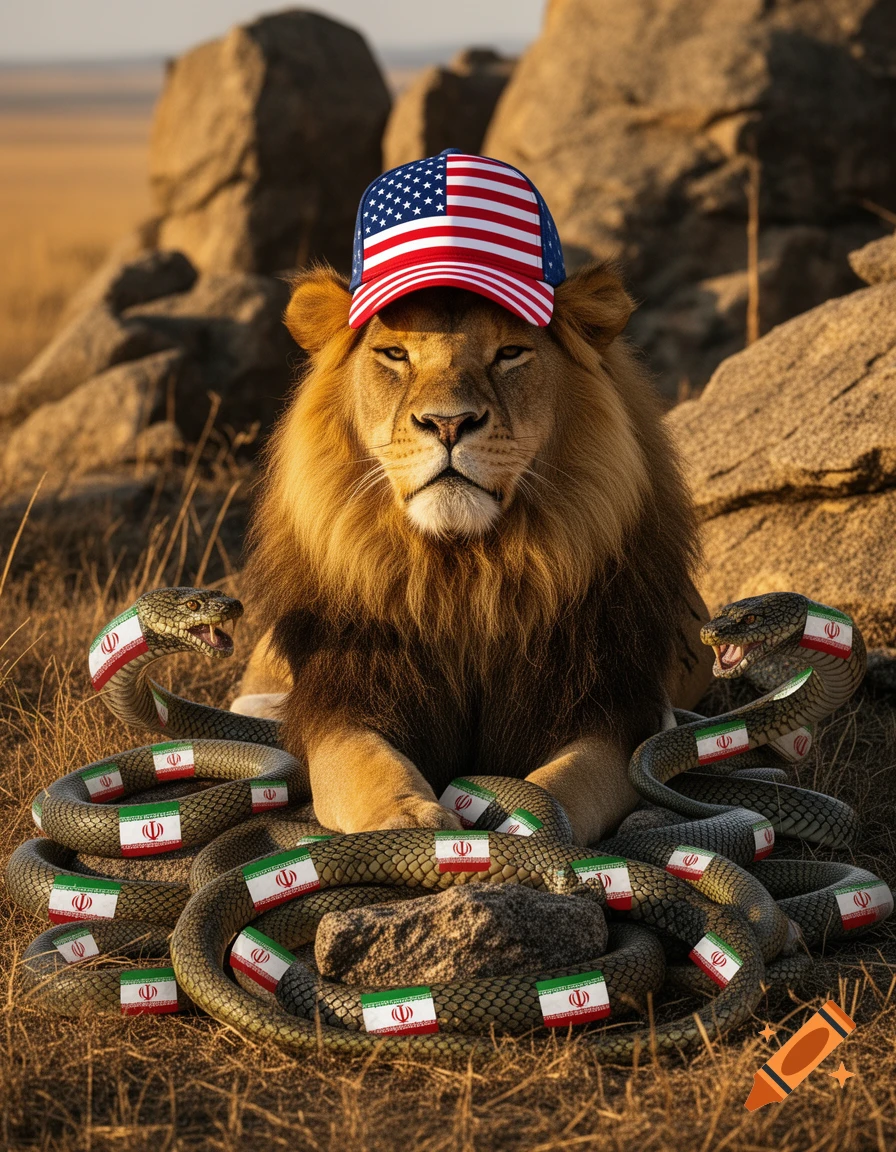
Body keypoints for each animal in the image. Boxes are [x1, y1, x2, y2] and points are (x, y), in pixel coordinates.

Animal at [234, 262, 713, 843]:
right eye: (395, 354)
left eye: (509, 353)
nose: (448, 424)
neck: (463, 575)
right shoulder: (342, 699)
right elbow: (363, 763)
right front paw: (406, 820)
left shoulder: (618, 711)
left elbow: (570, 781)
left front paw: (531, 826)